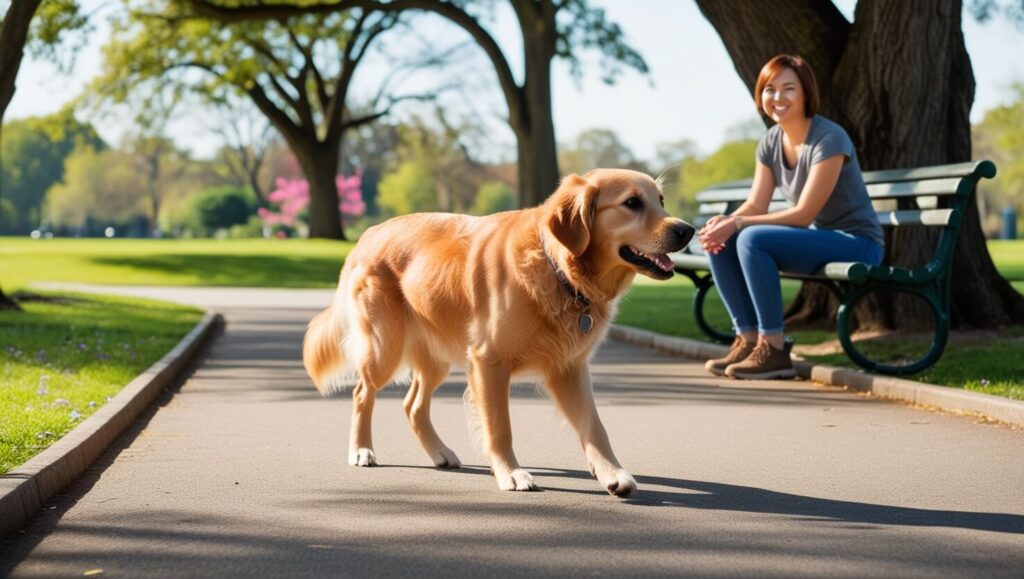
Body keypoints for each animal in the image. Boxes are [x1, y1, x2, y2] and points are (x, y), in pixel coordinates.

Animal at [299, 168, 692, 495]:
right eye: (631, 203)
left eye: (660, 200)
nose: (686, 230)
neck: (558, 268)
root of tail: (368, 234)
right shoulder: (489, 361)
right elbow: (500, 426)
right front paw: (511, 474)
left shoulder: (569, 368)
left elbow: (594, 426)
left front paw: (613, 473)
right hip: (386, 347)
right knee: (362, 392)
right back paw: (362, 450)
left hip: (438, 355)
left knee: (412, 406)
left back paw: (440, 452)